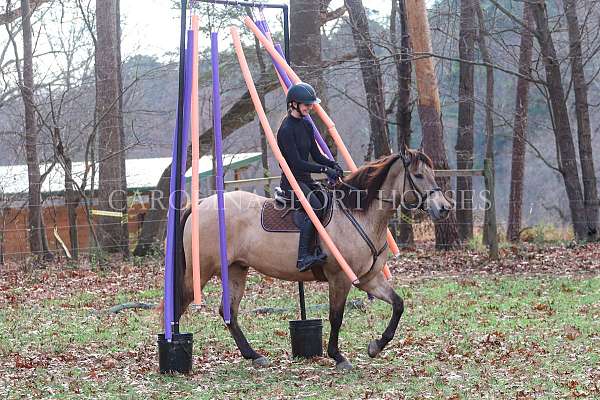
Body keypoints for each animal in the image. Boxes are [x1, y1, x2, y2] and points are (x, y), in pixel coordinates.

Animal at [173, 148, 450, 370]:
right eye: (418, 176)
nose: (444, 208)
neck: (360, 214)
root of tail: (200, 204)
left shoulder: (368, 279)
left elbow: (398, 304)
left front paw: (376, 346)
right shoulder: (340, 278)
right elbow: (336, 317)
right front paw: (338, 356)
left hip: (235, 270)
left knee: (228, 311)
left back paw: (253, 355)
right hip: (201, 270)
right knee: (181, 303)